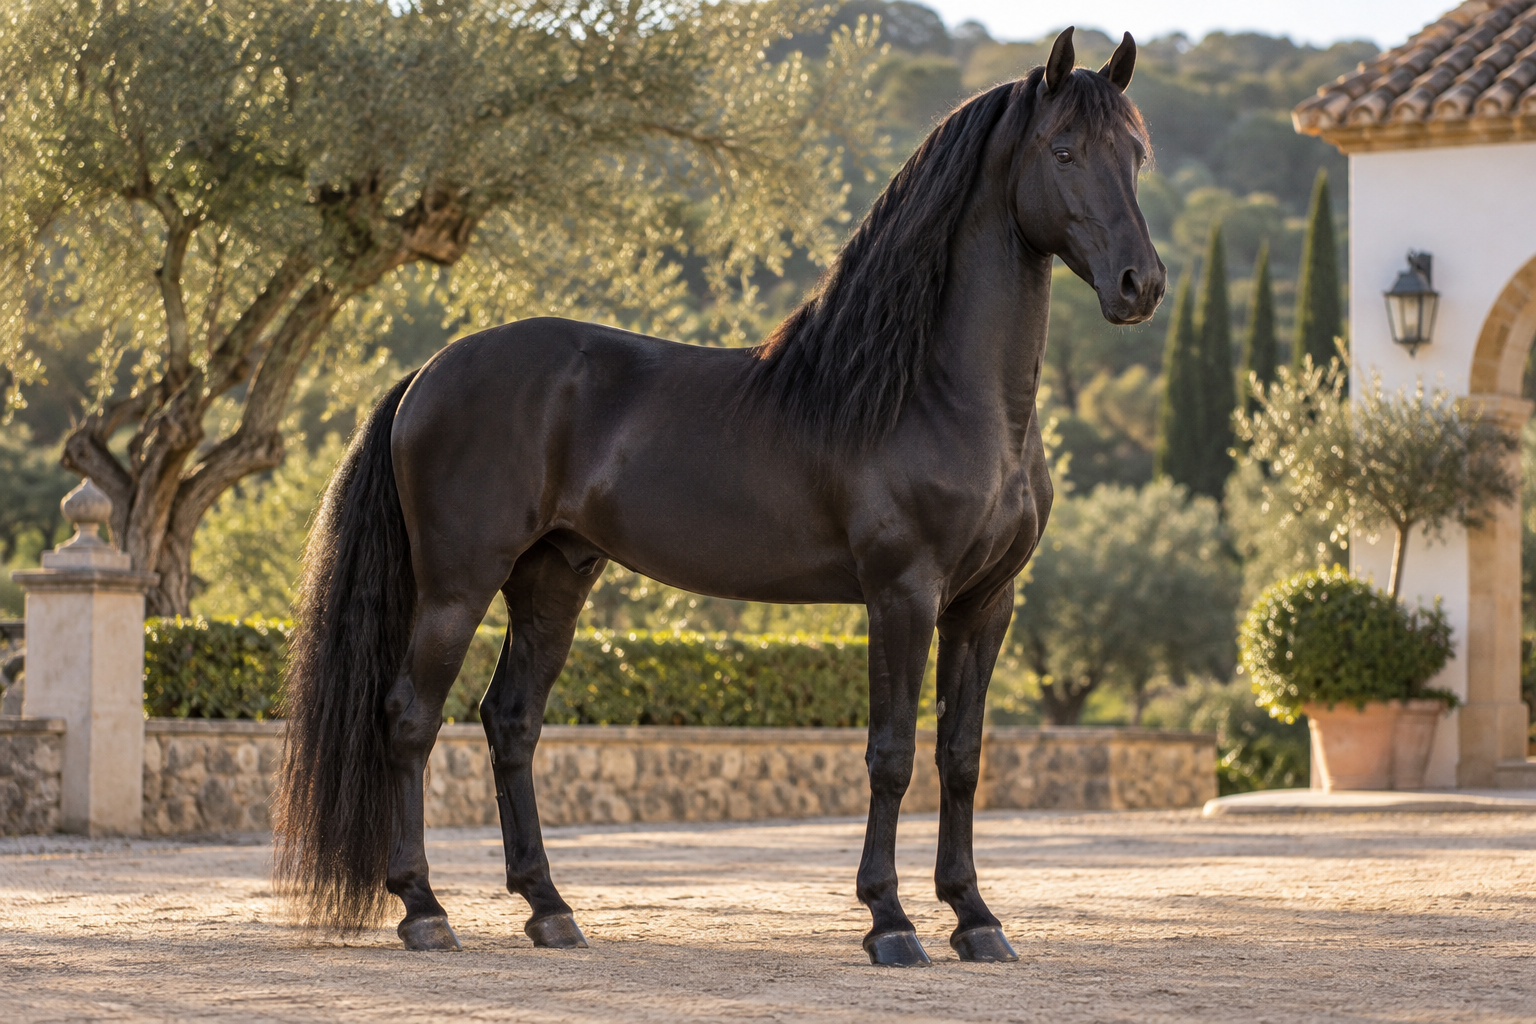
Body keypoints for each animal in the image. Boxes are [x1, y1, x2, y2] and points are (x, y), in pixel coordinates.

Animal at [274, 26, 1164, 967]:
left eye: (1135, 154)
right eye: (1063, 149)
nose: (1140, 284)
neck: (941, 394)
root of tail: (430, 372)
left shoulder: (986, 603)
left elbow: (961, 756)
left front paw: (976, 917)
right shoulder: (903, 592)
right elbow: (891, 755)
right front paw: (889, 921)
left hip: (553, 578)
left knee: (510, 722)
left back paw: (550, 909)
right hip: (457, 582)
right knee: (411, 718)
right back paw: (423, 908)